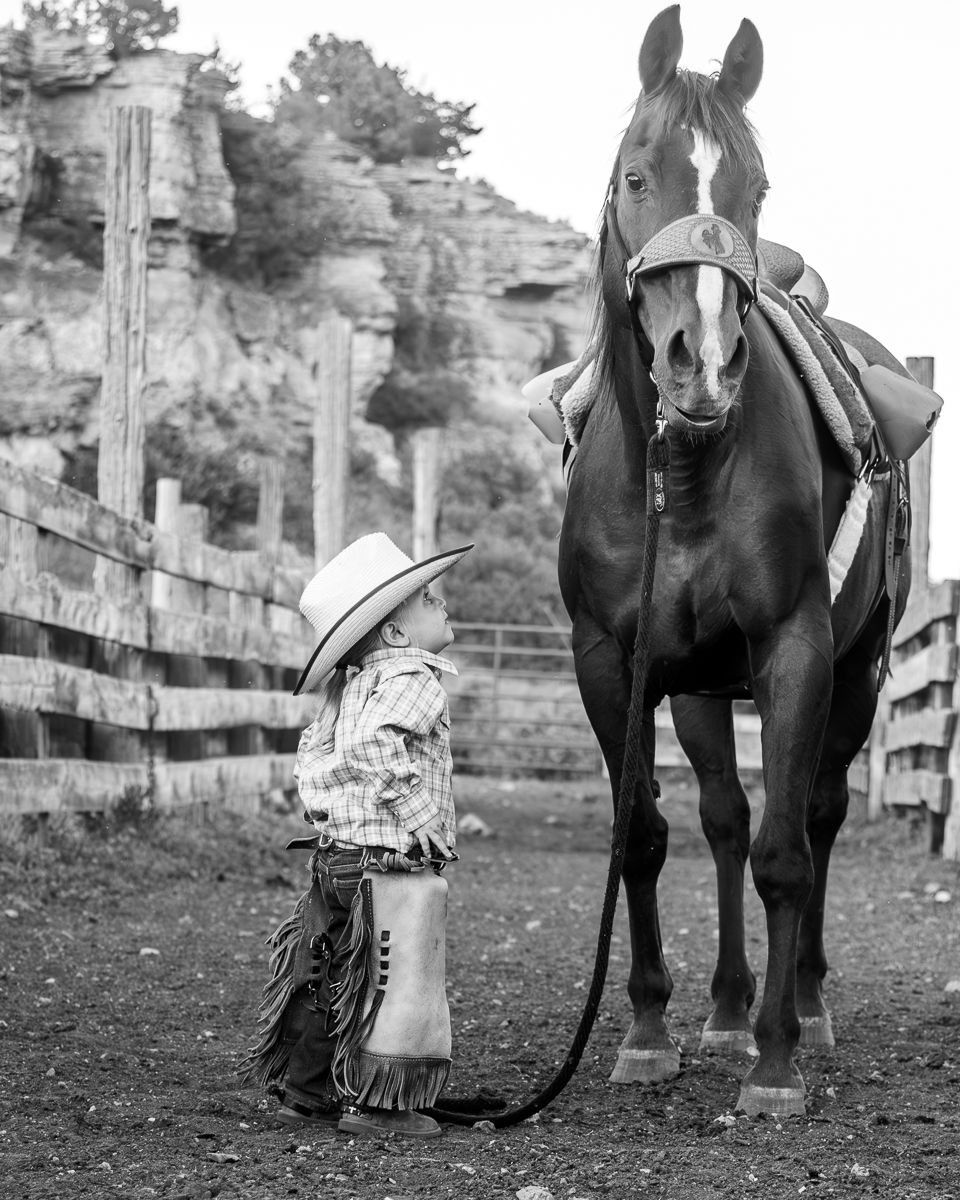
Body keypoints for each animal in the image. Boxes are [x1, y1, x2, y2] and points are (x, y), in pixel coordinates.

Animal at [558, 5, 911, 1117]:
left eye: (755, 188)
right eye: (637, 176)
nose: (703, 364)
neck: (687, 465)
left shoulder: (794, 651)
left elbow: (787, 854)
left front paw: (778, 1062)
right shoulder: (612, 663)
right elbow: (643, 834)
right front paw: (647, 1032)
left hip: (856, 671)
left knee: (817, 816)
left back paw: (803, 1006)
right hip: (705, 691)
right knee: (721, 818)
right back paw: (721, 1010)